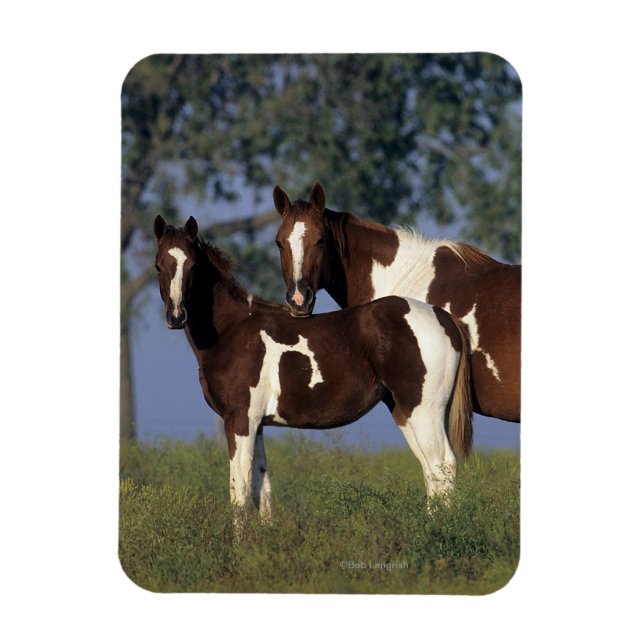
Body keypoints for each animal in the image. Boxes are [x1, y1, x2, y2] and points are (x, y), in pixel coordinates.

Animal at [153, 214, 473, 517]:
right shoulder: (257, 424)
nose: (176, 316)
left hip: (424, 411)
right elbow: (261, 489)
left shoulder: (240, 419)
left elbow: (239, 492)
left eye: (193, 266)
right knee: (430, 471)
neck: (233, 329)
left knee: (442, 465)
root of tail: (445, 318)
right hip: (405, 411)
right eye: (159, 266)